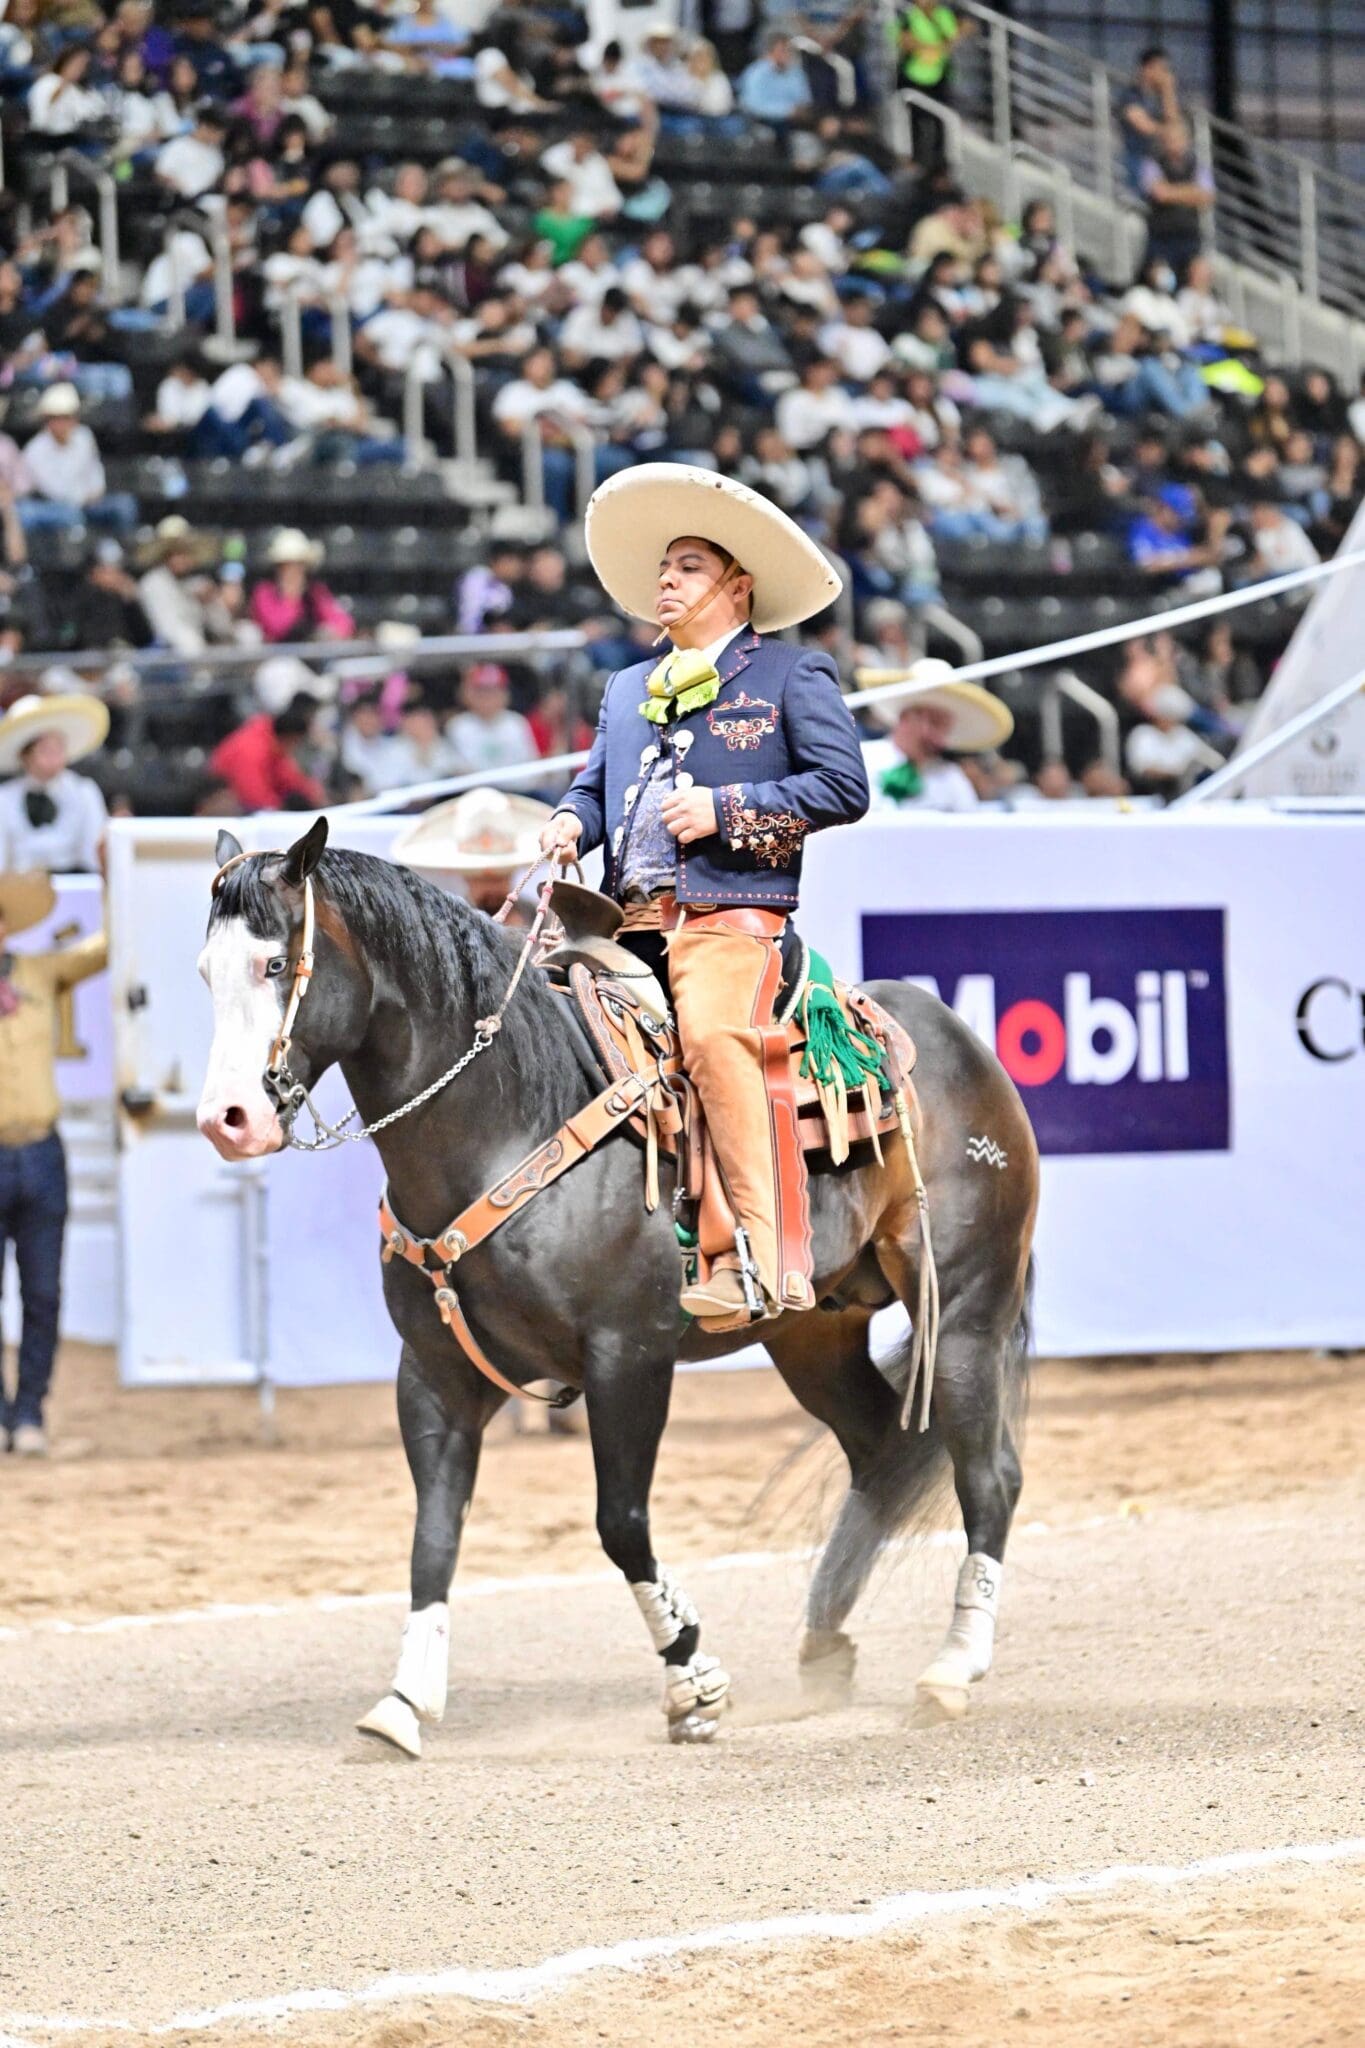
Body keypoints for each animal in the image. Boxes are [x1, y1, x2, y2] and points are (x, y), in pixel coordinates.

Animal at [200, 823, 1035, 1753]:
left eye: (276, 963)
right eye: (205, 970)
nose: (227, 1120)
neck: (506, 1117)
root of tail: (954, 1038)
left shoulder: (627, 1357)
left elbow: (620, 1524)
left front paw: (694, 1680)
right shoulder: (432, 1373)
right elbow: (433, 1536)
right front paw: (405, 1701)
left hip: (962, 1313)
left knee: (987, 1475)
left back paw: (951, 1668)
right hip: (812, 1334)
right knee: (881, 1454)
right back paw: (823, 1643)